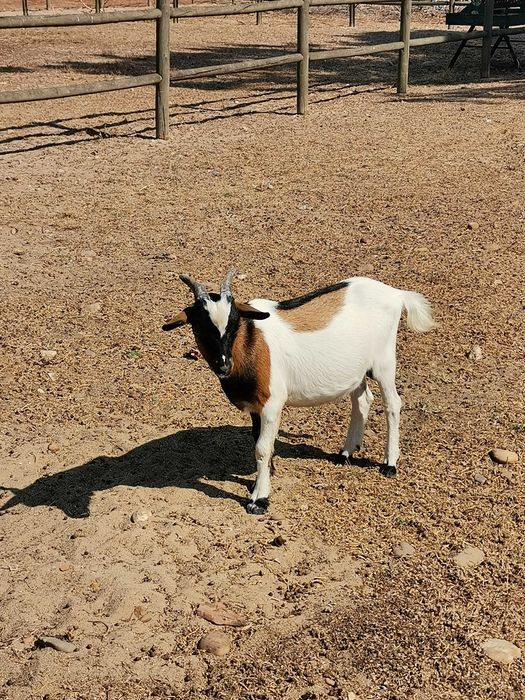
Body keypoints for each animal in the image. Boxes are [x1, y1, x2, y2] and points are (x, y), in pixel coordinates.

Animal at [163, 270, 437, 515]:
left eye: (234, 324)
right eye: (199, 327)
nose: (223, 365)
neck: (252, 343)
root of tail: (396, 294)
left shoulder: (272, 403)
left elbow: (262, 448)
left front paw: (259, 499)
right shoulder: (255, 407)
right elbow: (257, 440)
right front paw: (261, 480)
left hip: (384, 363)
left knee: (393, 404)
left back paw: (389, 464)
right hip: (356, 370)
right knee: (362, 401)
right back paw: (345, 453)